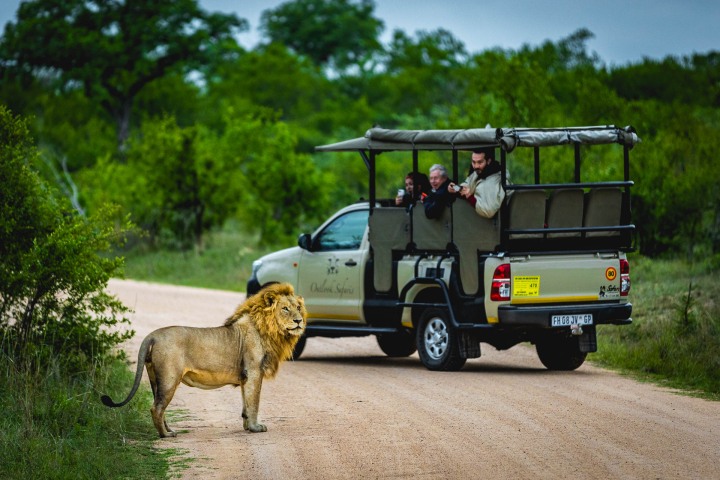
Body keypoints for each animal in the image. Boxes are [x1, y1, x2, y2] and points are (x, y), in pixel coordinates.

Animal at [101, 283, 306, 438]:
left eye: (298, 308)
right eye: (285, 309)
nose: (299, 321)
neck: (270, 331)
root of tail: (153, 335)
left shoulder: (246, 376)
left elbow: (245, 404)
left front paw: (248, 426)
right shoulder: (254, 372)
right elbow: (253, 401)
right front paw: (256, 428)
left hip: (154, 378)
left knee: (159, 407)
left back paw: (168, 430)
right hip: (169, 378)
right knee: (156, 408)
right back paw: (166, 435)